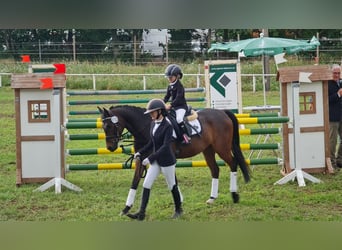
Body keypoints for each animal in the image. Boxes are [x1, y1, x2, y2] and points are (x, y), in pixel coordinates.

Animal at [97, 105, 250, 215]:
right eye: (103, 127)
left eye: (110, 126)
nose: (110, 147)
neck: (147, 128)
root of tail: (222, 112)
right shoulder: (142, 159)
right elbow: (135, 182)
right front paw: (126, 208)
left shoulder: (164, 158)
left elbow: (172, 180)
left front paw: (179, 202)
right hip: (208, 149)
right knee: (215, 169)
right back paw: (212, 198)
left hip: (222, 148)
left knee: (233, 163)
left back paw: (234, 195)